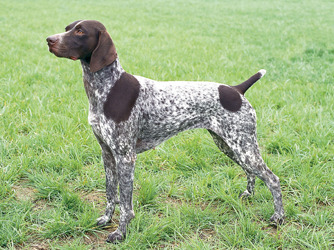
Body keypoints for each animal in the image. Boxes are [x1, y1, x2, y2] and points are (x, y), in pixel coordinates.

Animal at [45, 20, 284, 244]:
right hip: (230, 144)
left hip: (243, 146)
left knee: (272, 178)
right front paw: (106, 219)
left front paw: (120, 233)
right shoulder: (107, 154)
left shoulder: (125, 157)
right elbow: (110, 192)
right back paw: (248, 195)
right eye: (67, 28)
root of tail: (236, 90)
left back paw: (278, 217)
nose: (49, 40)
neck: (107, 88)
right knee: (250, 172)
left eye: (80, 31)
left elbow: (125, 203)